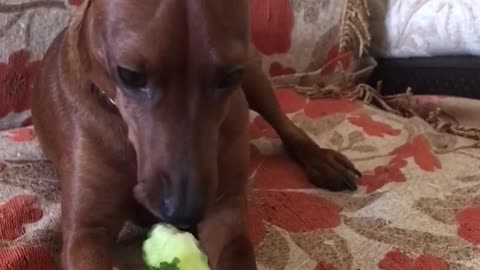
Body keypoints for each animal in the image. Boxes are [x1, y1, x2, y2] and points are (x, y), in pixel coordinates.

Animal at [30, 1, 360, 268]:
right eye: (129, 75)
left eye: (230, 76)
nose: (183, 214)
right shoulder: (86, 233)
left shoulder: (225, 209)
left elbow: (236, 252)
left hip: (255, 76)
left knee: (287, 126)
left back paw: (322, 161)